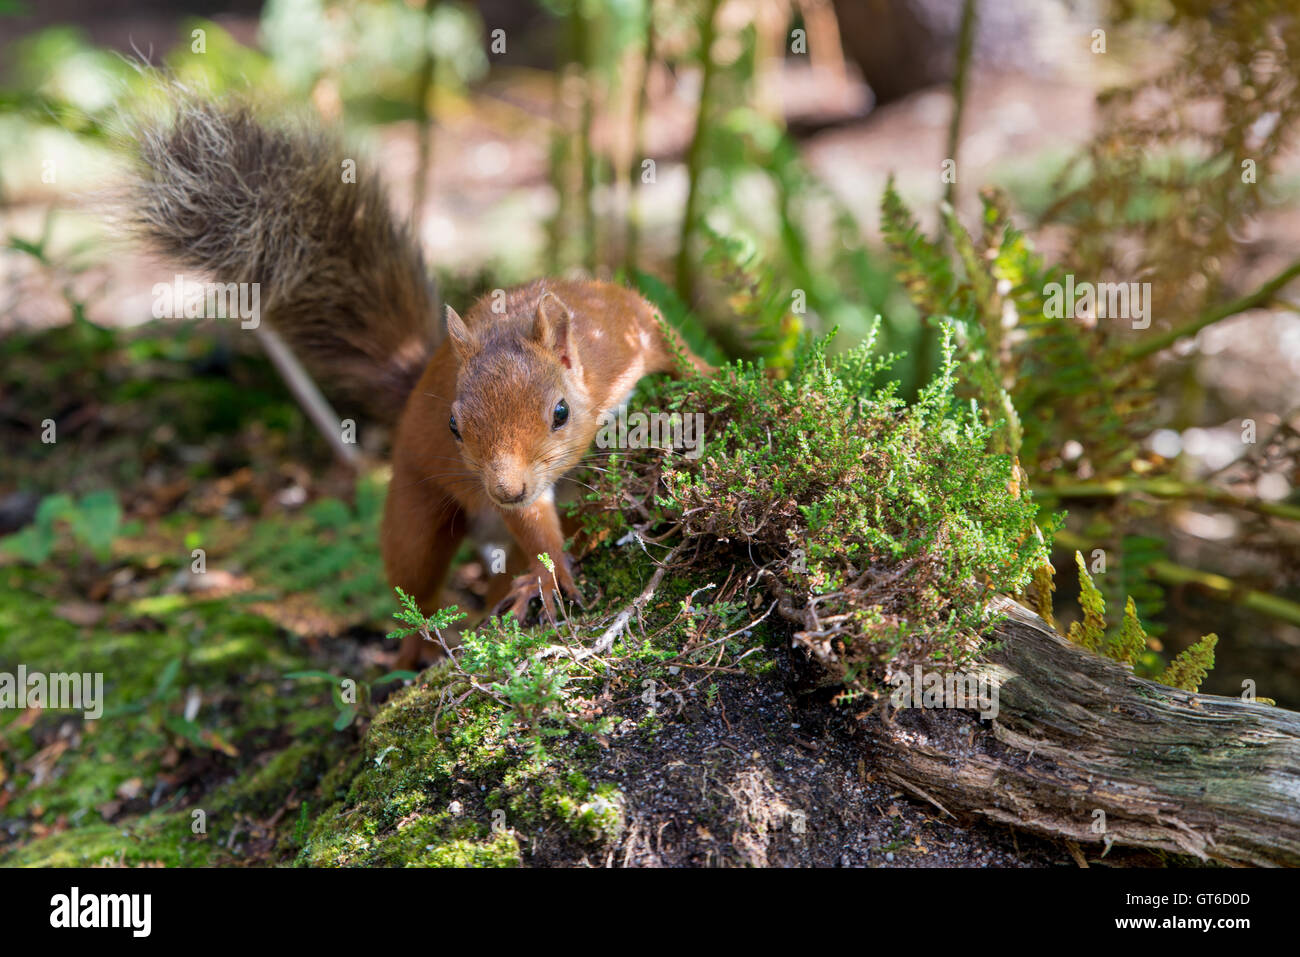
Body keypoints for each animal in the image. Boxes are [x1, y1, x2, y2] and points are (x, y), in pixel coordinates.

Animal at [124, 97, 712, 665]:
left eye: (560, 413)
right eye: (454, 425)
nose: (506, 489)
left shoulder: (627, 331)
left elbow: (673, 347)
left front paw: (713, 378)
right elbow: (535, 527)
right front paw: (547, 577)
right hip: (417, 505)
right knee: (417, 581)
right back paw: (424, 644)